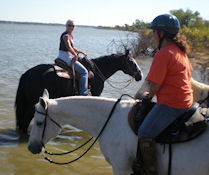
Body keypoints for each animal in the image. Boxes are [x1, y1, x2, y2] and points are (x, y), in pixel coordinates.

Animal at [14, 51, 142, 134]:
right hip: (31, 104)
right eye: (131, 61)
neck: (97, 73)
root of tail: (27, 74)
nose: (140, 75)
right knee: (25, 122)